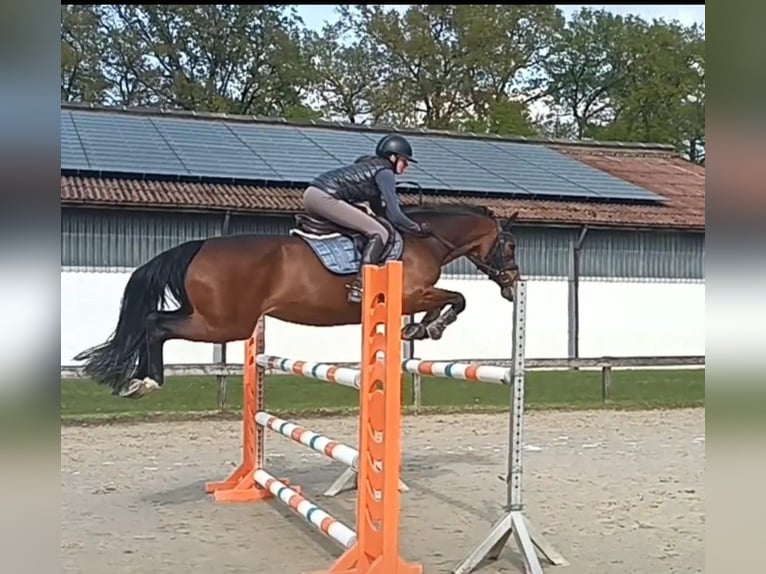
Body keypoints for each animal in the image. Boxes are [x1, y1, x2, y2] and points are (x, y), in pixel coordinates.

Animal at [73, 204, 520, 400]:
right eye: (511, 245)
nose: (514, 284)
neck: (424, 239)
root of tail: (199, 246)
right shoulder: (410, 291)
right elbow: (458, 297)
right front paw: (433, 325)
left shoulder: (414, 295)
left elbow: (441, 302)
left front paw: (421, 327)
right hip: (224, 323)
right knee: (155, 324)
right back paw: (146, 381)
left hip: (210, 315)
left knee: (152, 320)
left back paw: (135, 380)